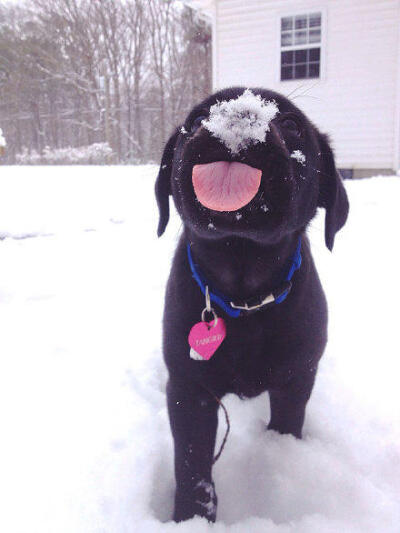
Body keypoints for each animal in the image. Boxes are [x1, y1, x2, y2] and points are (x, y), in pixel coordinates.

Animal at [155, 86, 348, 520]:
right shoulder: (189, 388)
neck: (243, 297)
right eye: (196, 120)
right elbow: (191, 464)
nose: (239, 112)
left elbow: (287, 424)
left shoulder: (296, 378)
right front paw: (191, 518)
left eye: (291, 124)